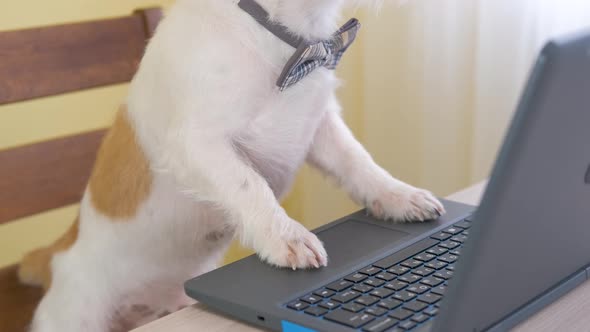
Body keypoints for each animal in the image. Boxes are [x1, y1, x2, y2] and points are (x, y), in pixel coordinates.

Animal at [17, 1, 444, 330]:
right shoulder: (196, 144)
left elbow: (358, 161)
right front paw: (285, 236)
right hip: (77, 316)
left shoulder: (321, 126)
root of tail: (56, 256)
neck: (281, 33)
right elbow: (249, 185)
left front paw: (398, 196)